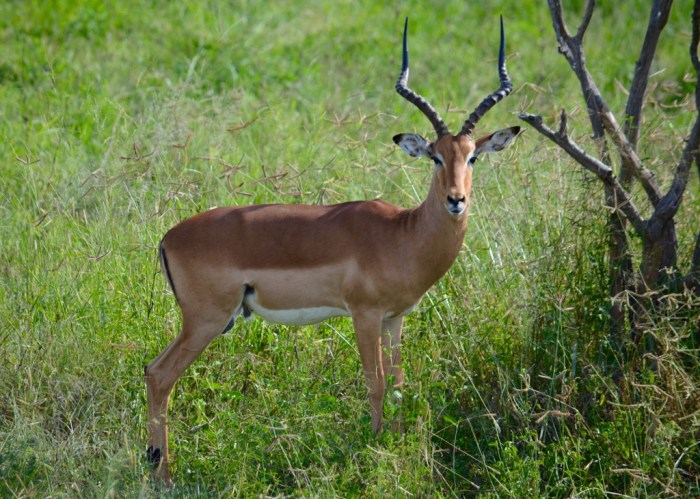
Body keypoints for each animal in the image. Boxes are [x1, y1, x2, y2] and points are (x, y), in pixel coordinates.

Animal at [145, 17, 520, 484]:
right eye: (435, 156)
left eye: (472, 157)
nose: (456, 200)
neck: (403, 235)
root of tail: (168, 237)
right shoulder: (364, 314)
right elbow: (376, 383)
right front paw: (375, 447)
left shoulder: (395, 318)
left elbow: (400, 385)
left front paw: (397, 443)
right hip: (206, 320)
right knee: (160, 376)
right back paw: (163, 475)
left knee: (153, 372)